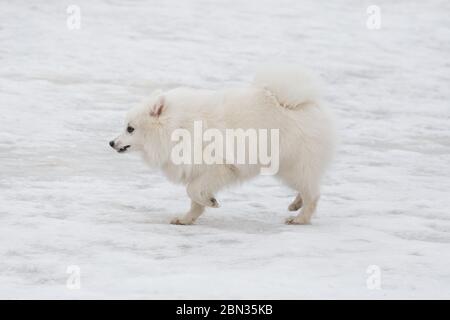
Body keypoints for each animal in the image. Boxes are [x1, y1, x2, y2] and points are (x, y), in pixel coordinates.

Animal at [109, 65, 334, 225]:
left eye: (130, 129)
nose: (111, 143)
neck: (178, 127)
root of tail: (302, 104)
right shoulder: (197, 169)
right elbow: (194, 199)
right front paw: (187, 218)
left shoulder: (219, 167)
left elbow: (192, 190)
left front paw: (210, 201)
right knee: (306, 188)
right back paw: (296, 204)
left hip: (294, 165)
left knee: (313, 193)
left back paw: (300, 218)